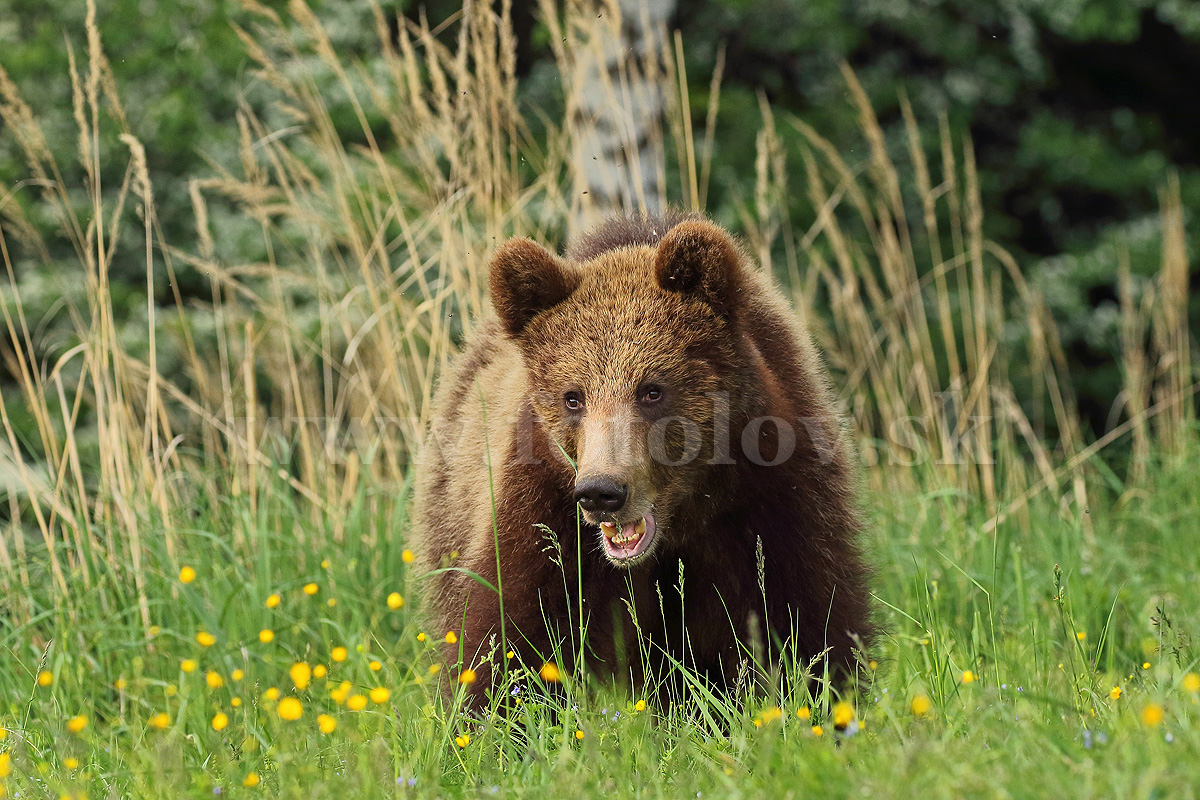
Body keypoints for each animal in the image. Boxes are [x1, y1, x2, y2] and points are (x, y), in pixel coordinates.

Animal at [412, 212, 873, 705]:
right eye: (573, 397)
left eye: (652, 389)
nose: (602, 492)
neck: (679, 524)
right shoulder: (547, 519)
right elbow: (511, 642)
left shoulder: (769, 503)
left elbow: (803, 623)